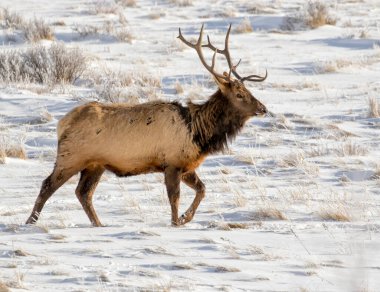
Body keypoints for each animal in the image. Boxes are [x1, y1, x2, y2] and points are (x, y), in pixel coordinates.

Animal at [26, 24, 268, 226]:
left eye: (249, 90)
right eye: (239, 94)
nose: (263, 108)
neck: (198, 133)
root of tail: (62, 123)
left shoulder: (186, 165)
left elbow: (202, 189)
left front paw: (186, 217)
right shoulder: (172, 162)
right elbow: (174, 198)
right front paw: (177, 221)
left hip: (95, 164)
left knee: (83, 193)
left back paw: (99, 224)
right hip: (71, 157)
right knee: (47, 185)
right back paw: (30, 222)